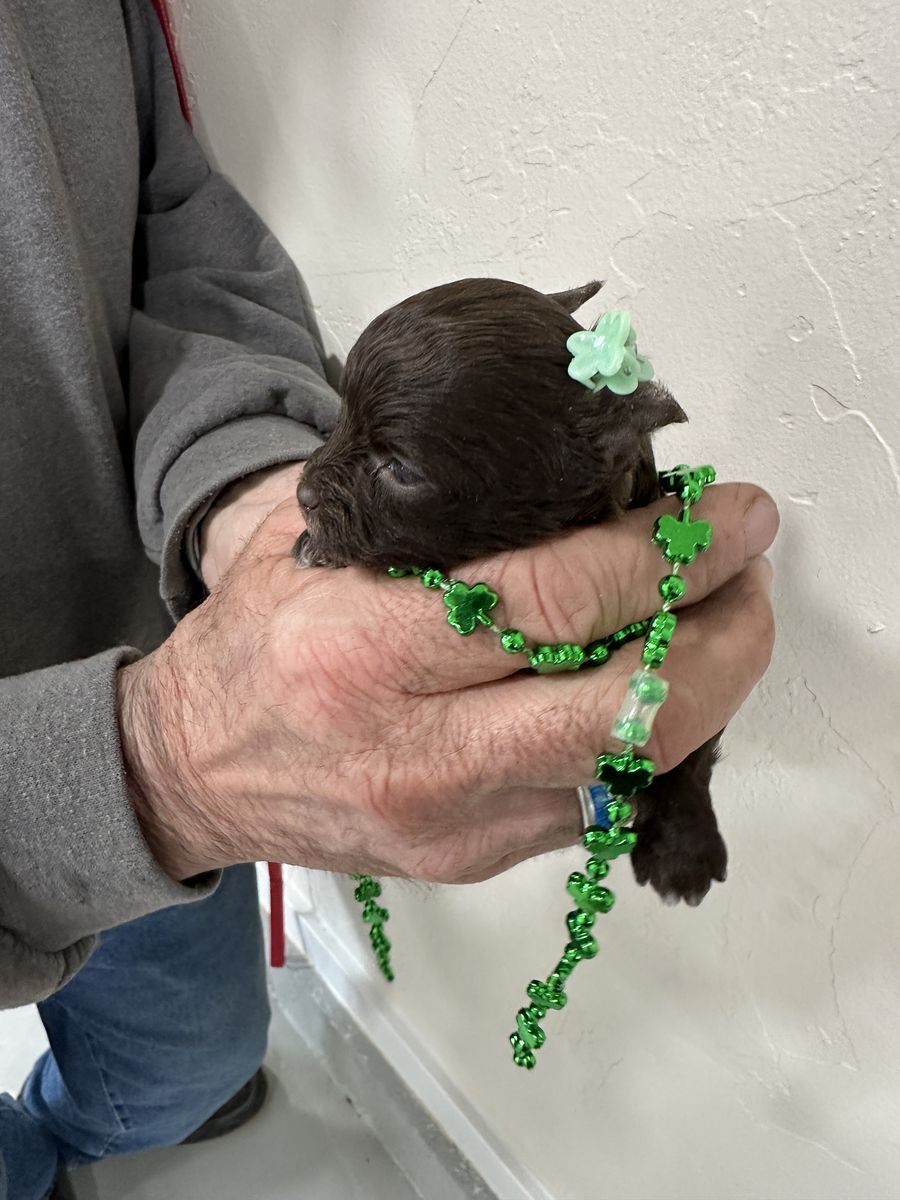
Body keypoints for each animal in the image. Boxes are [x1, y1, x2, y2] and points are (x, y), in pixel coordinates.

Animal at [294, 278, 726, 904]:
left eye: (400, 469)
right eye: (340, 417)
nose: (301, 493)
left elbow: (688, 756)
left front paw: (684, 850)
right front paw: (313, 544)